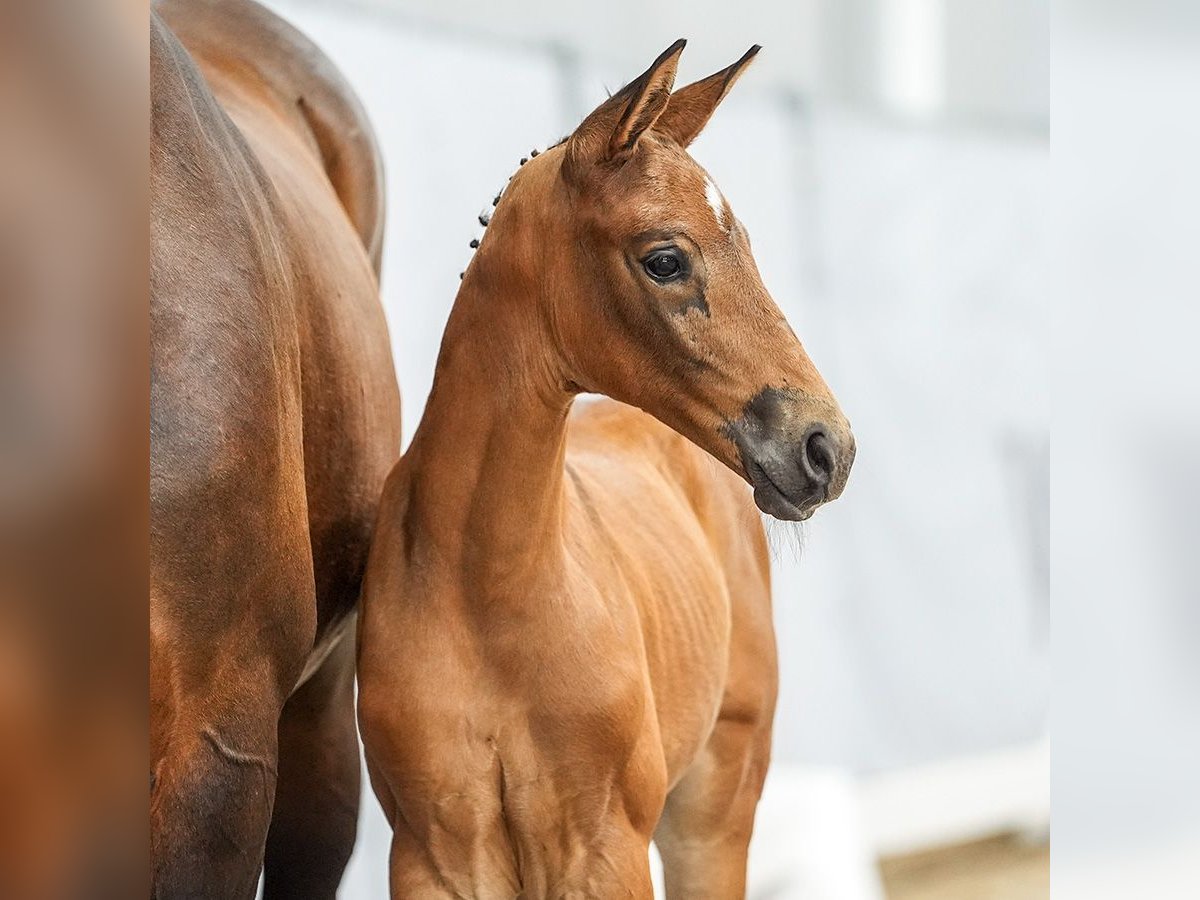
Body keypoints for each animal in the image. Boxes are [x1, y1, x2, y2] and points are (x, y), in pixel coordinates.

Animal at [355, 42, 854, 900]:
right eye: (665, 258)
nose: (826, 446)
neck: (490, 594)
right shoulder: (431, 858)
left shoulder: (604, 849)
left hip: (713, 813)